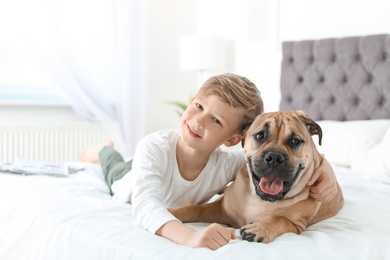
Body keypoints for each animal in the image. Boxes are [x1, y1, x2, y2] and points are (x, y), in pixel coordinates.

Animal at [171, 110, 344, 243]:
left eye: (295, 141)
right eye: (260, 135)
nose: (274, 156)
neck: (260, 199)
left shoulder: (297, 224)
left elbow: (279, 219)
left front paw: (259, 229)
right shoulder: (220, 208)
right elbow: (194, 208)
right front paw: (173, 212)